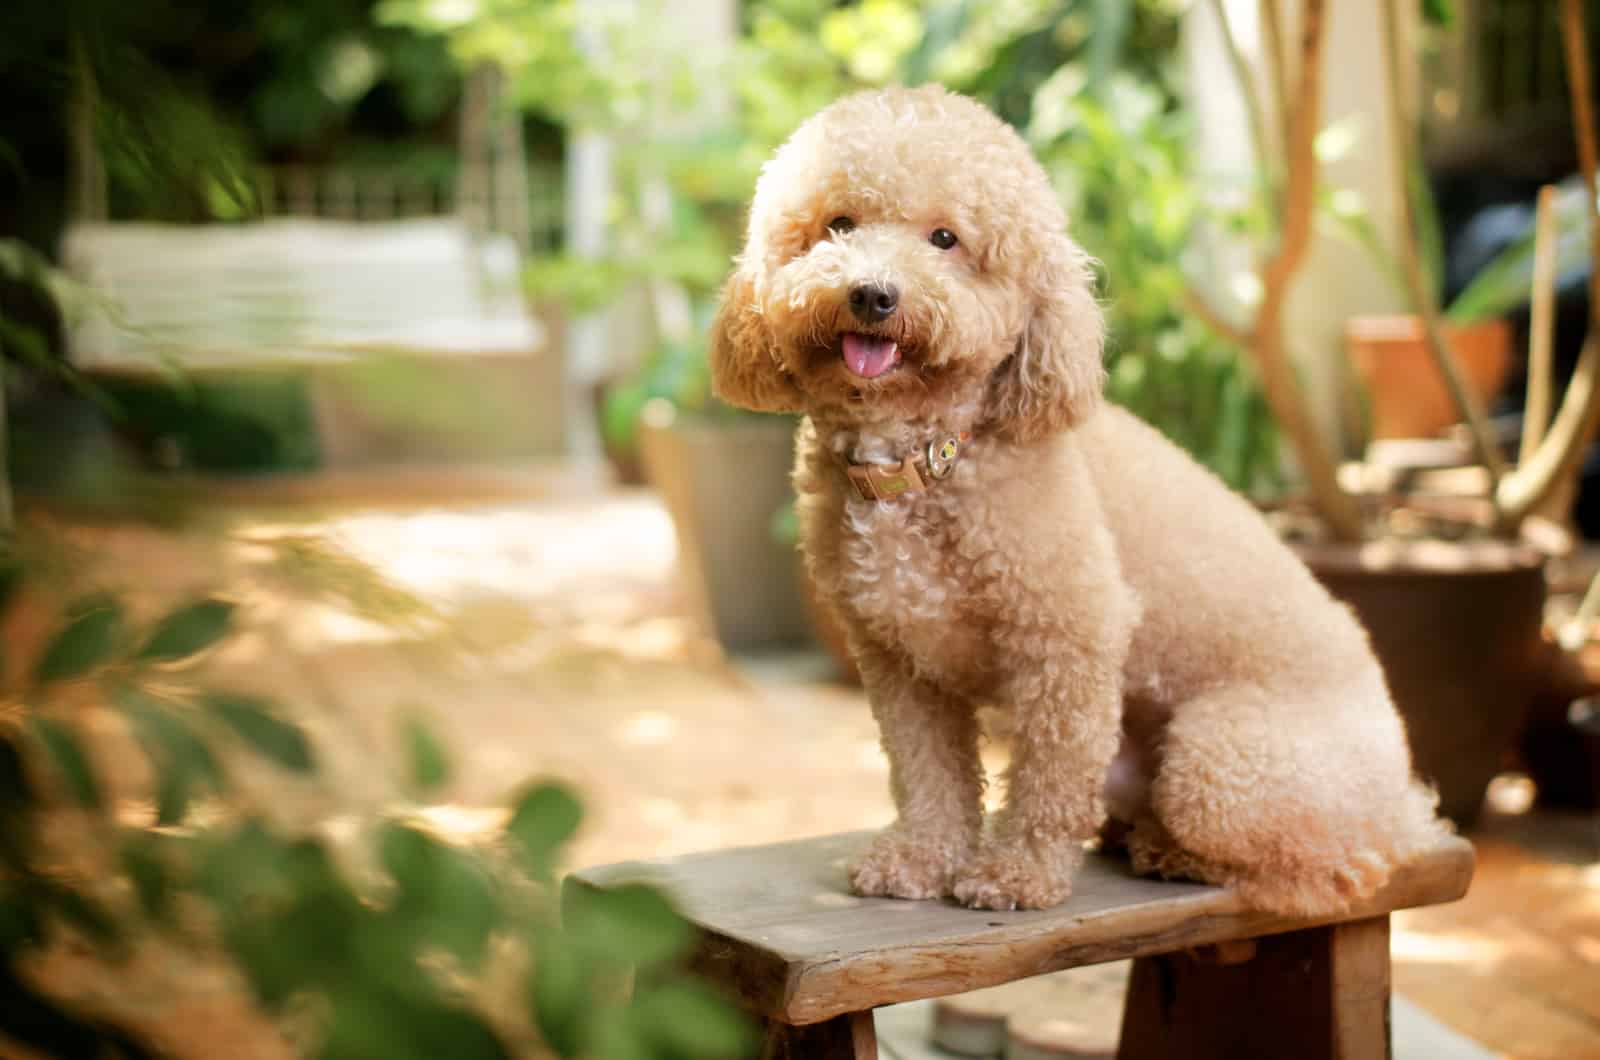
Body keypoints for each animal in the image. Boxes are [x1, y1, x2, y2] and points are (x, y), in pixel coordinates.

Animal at [713, 83, 1452, 915]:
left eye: (946, 239)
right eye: (837, 224)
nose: (872, 294)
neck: (927, 456)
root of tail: (1408, 799)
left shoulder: (1068, 641)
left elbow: (1049, 779)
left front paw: (1016, 874)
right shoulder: (898, 660)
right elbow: (926, 773)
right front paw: (918, 859)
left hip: (1222, 764)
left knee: (1329, 863)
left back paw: (1178, 852)